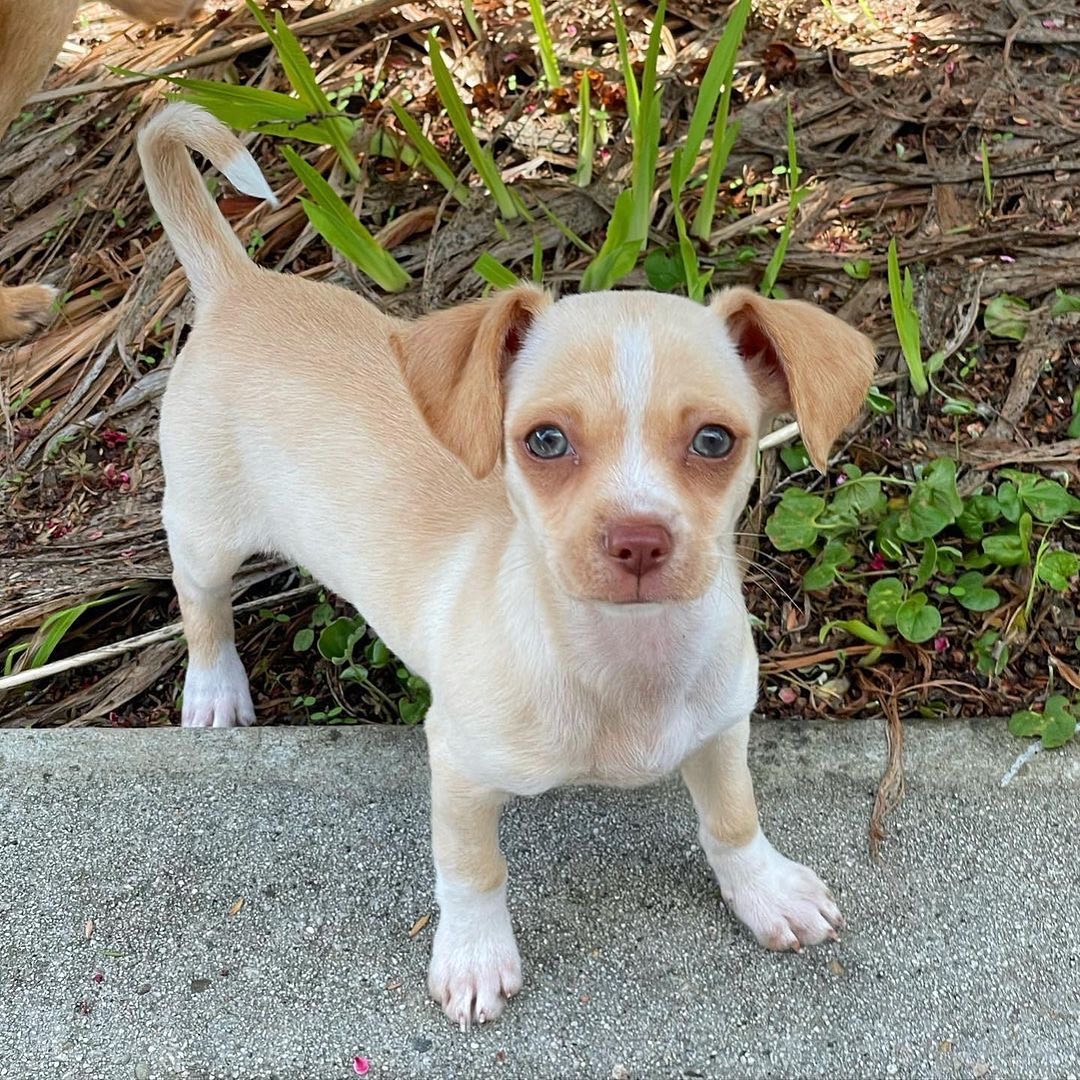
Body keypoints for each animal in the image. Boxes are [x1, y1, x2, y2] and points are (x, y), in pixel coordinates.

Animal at [137, 103, 876, 1028]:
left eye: (715, 441)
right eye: (545, 441)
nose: (639, 541)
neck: (624, 661)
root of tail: (241, 282)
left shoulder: (721, 730)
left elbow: (734, 818)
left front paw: (765, 889)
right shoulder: (456, 766)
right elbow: (472, 869)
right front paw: (475, 957)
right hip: (204, 527)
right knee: (200, 603)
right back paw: (213, 689)